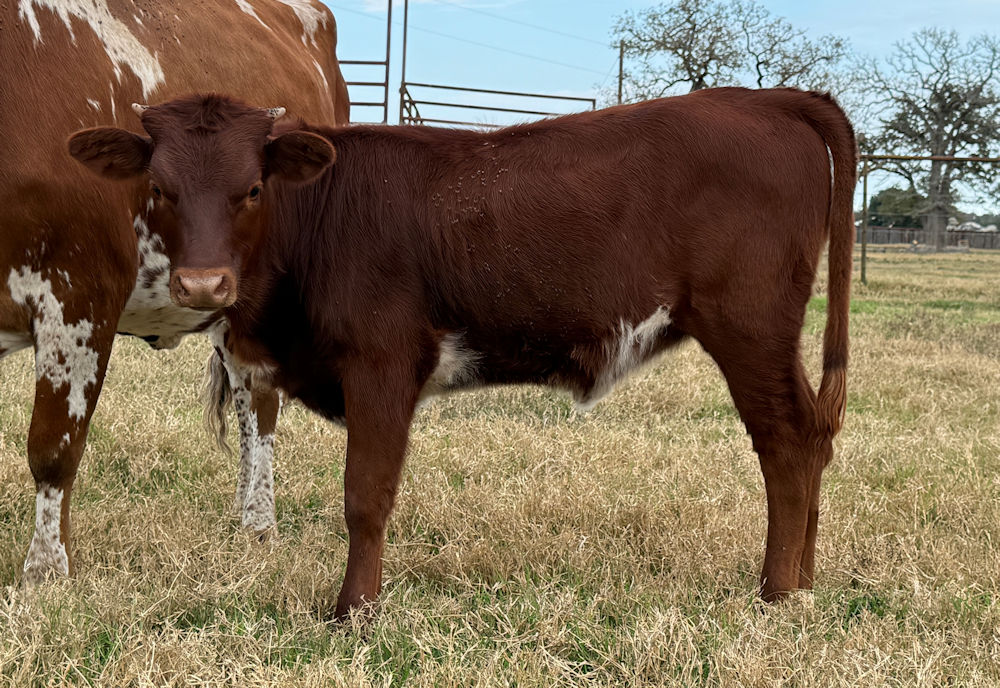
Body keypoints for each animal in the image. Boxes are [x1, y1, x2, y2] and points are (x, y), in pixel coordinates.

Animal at [0, 1, 349, 585]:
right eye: (159, 187)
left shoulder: (79, 291)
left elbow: (53, 447)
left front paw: (46, 573)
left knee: (261, 403)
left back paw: (260, 524)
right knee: (245, 400)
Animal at [70, 88, 856, 619]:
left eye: (253, 188)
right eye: (160, 188)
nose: (204, 283)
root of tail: (766, 97)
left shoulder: (383, 365)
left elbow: (366, 495)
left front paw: (354, 610)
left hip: (748, 326)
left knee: (787, 440)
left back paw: (776, 591)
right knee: (816, 434)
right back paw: (806, 581)